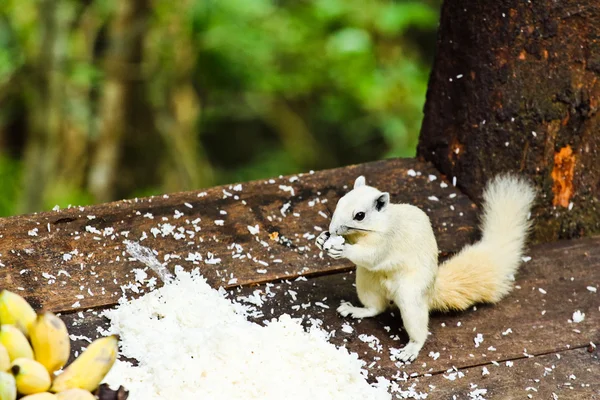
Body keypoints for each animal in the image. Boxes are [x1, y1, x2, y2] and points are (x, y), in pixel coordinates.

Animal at [316, 173, 536, 360]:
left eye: (360, 215)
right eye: (340, 201)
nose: (332, 230)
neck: (369, 230)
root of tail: (431, 290)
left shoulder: (387, 240)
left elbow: (370, 256)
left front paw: (342, 249)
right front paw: (322, 239)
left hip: (410, 296)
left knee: (417, 327)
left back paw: (411, 349)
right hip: (367, 282)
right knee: (376, 307)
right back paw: (356, 310)